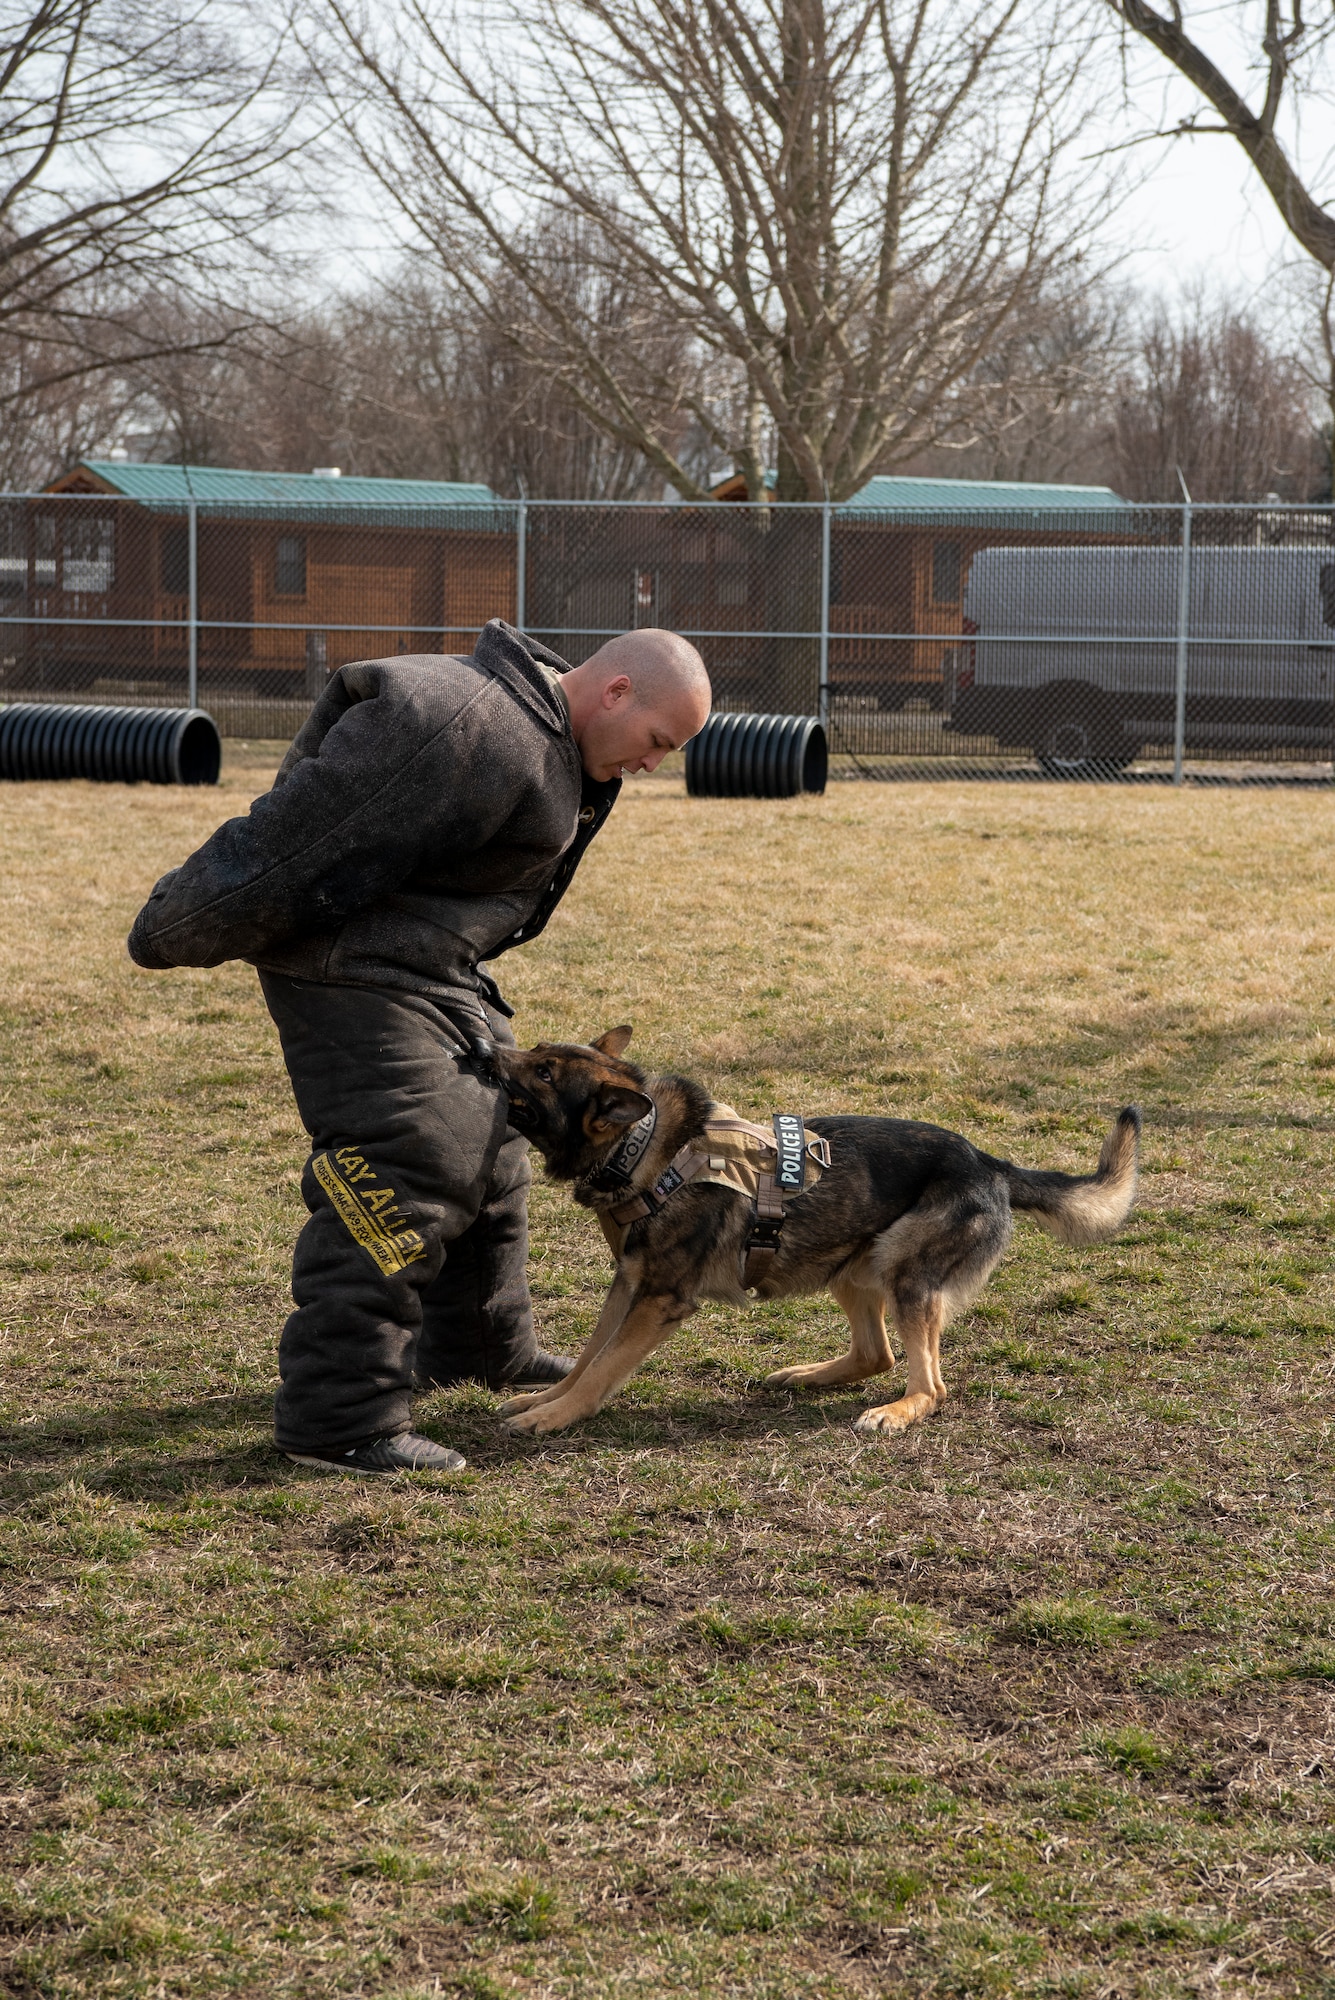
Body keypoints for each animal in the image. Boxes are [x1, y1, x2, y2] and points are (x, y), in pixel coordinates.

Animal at [495, 1032, 1143, 1440]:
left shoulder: (657, 1301)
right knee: (876, 1354)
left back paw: (897, 1411)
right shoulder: (627, 1285)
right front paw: (545, 1401)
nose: (486, 1047)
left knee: (931, 1385)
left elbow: (603, 1367)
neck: (646, 1144)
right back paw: (807, 1375)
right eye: (539, 1051)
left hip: (904, 1273)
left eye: (544, 1072)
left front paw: (555, 1417)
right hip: (849, 1267)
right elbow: (587, 1358)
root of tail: (989, 1162)